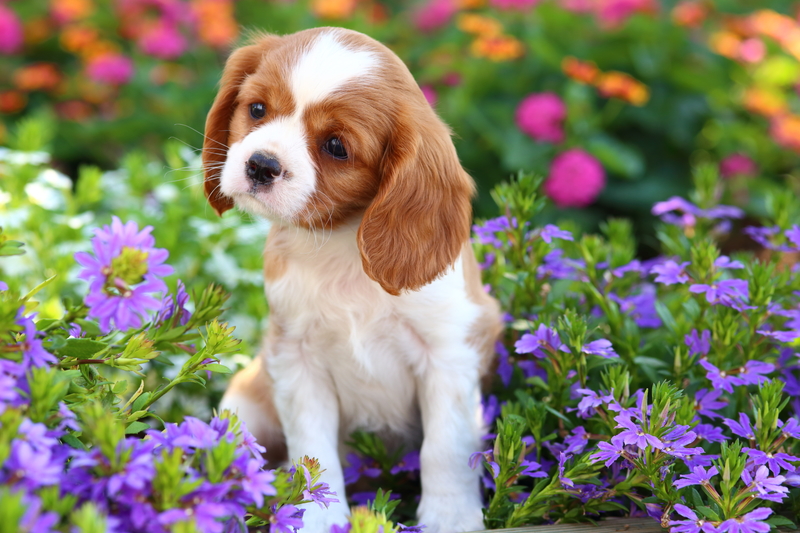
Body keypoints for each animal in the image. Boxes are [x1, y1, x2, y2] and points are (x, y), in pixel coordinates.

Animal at [206, 28, 504, 532]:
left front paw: (450, 517)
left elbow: (445, 448)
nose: (261, 164)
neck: (342, 244)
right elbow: (312, 452)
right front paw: (312, 517)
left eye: (336, 147)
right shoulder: (296, 359)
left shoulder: (448, 356)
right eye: (258, 109)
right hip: (245, 398)